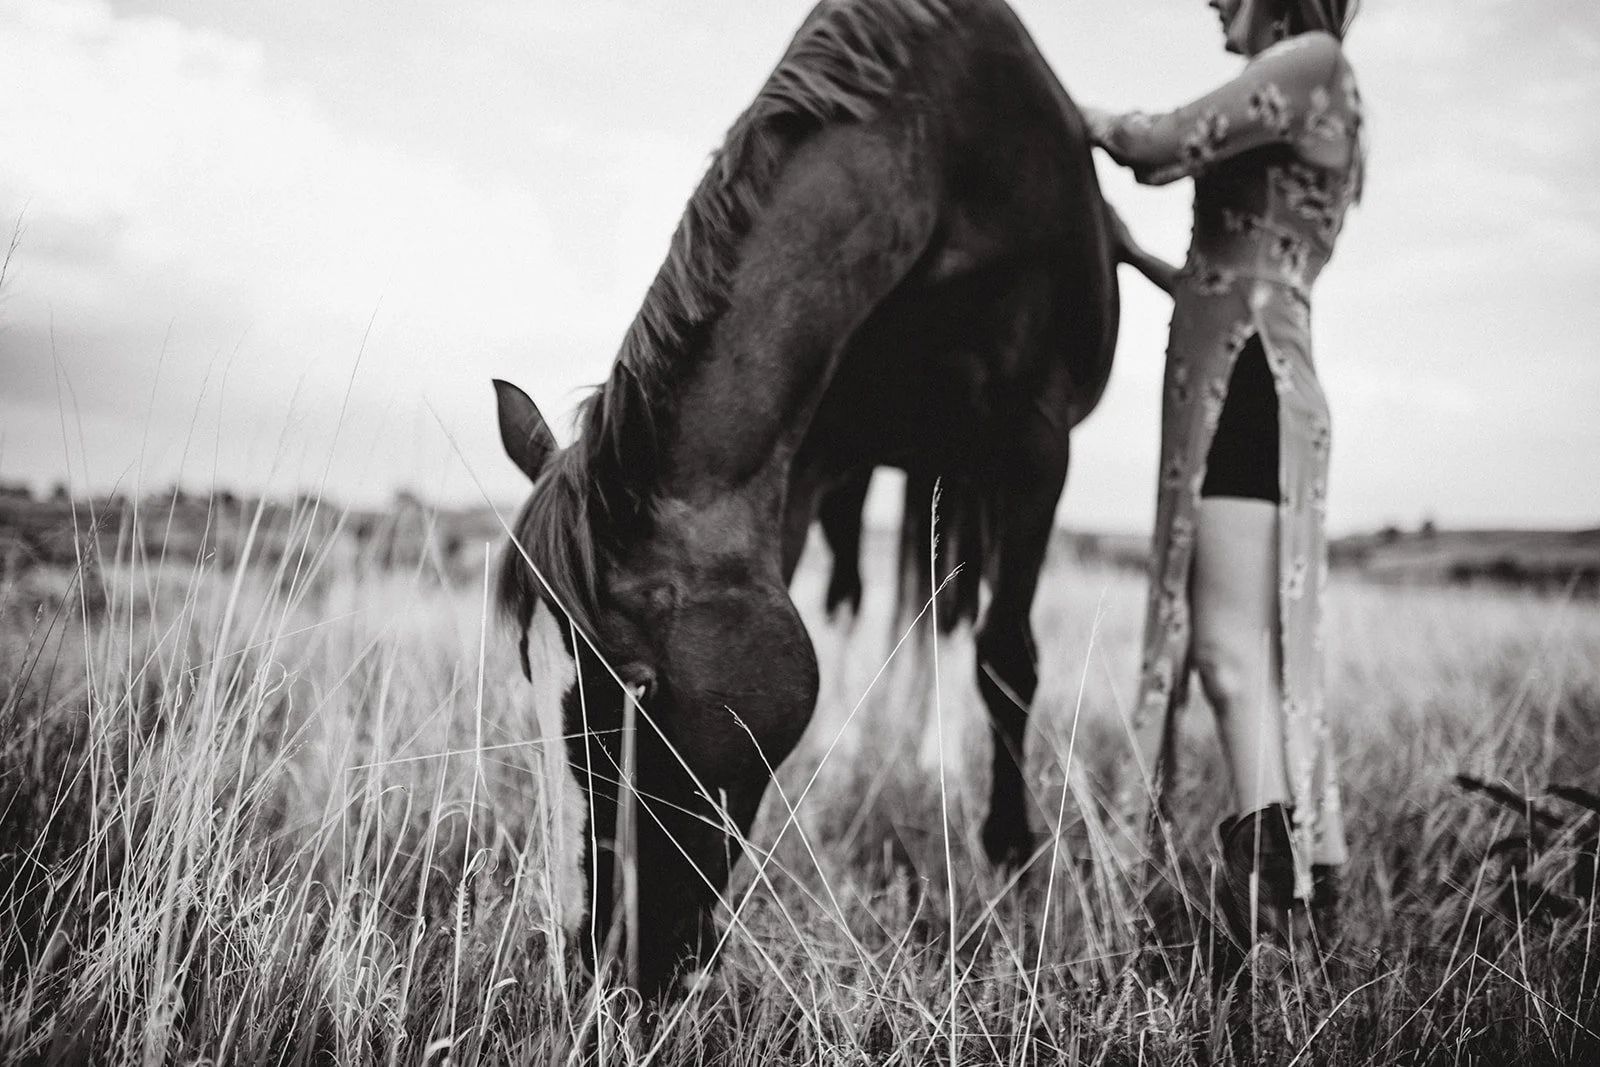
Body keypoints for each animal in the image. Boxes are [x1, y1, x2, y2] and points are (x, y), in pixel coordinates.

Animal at [495, 0, 1123, 996]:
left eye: (636, 685)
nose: (592, 958)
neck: (945, 154)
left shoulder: (1033, 442)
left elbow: (1006, 654)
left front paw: (1012, 856)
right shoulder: (820, 452)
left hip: (964, 467)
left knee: (953, 610)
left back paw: (935, 766)